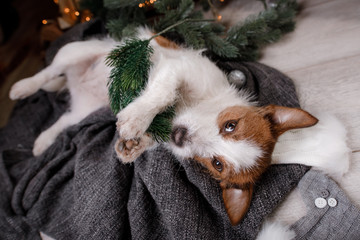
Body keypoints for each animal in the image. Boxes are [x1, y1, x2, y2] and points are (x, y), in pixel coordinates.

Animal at [8, 28, 320, 231]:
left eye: (216, 164)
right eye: (230, 125)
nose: (179, 137)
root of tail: (74, 83)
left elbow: (149, 137)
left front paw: (132, 146)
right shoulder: (179, 69)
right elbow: (164, 92)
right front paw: (136, 118)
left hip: (86, 109)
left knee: (64, 121)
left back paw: (43, 140)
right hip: (76, 51)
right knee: (48, 72)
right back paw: (21, 88)